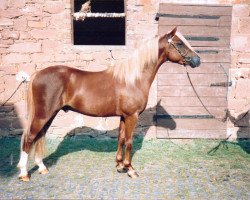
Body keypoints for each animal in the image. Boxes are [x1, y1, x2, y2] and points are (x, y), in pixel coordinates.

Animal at [17, 27, 200, 182]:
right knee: (29, 137)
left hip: (50, 115)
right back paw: (24, 174)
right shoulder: (132, 116)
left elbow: (120, 138)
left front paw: (119, 165)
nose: (197, 60)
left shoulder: (123, 116)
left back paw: (42, 168)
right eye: (179, 43)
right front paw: (130, 169)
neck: (133, 79)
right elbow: (129, 141)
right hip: (43, 114)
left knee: (39, 136)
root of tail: (37, 74)